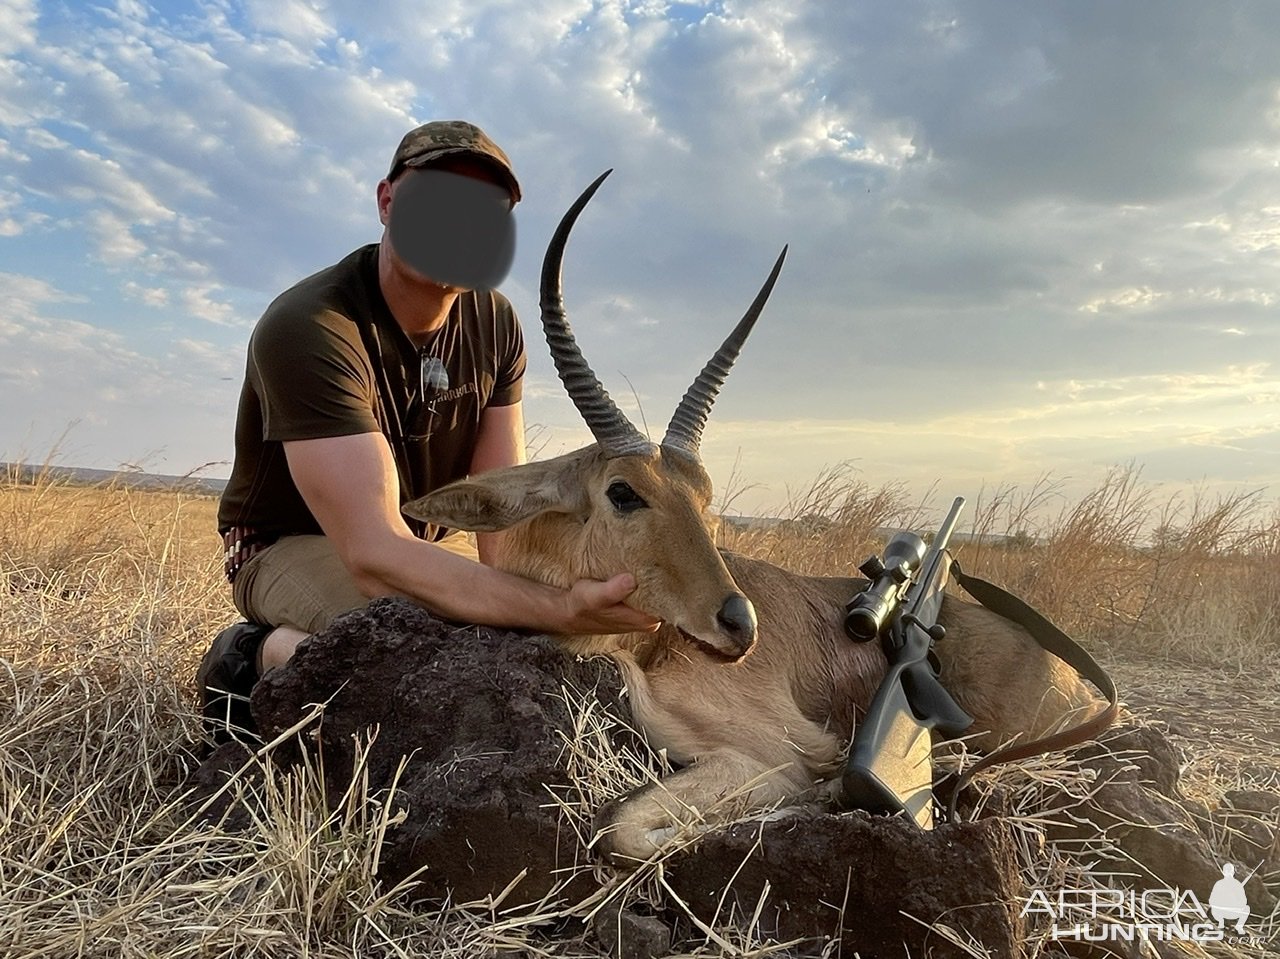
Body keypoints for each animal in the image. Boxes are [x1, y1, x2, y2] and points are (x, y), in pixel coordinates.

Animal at [404, 174, 1105, 865]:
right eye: (623, 491)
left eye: (705, 495)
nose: (740, 625)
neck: (648, 649)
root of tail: (1082, 684)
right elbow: (618, 826)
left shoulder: (779, 755)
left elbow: (620, 826)